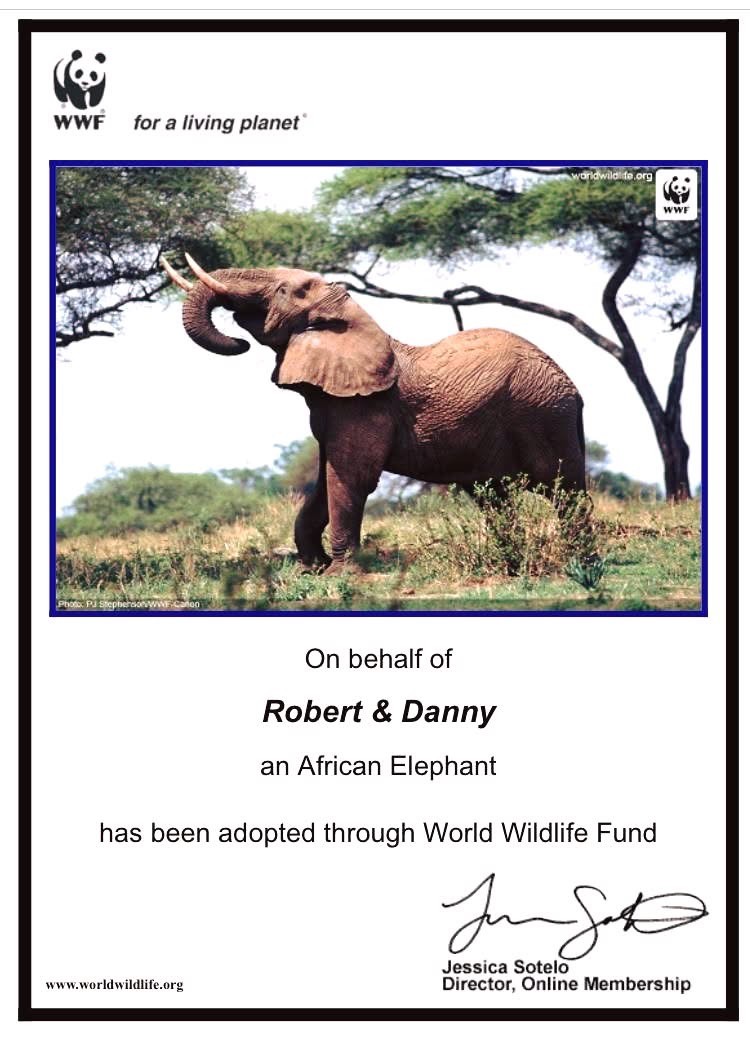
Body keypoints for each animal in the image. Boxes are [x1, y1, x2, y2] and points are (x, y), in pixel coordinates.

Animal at [162, 254, 587, 572]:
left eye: (287, 291)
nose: (239, 341)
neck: (354, 318)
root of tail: (572, 385)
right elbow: (325, 479)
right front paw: (312, 567)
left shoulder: (364, 407)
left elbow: (350, 477)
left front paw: (337, 573)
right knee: (494, 496)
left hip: (546, 411)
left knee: (563, 488)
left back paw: (579, 561)